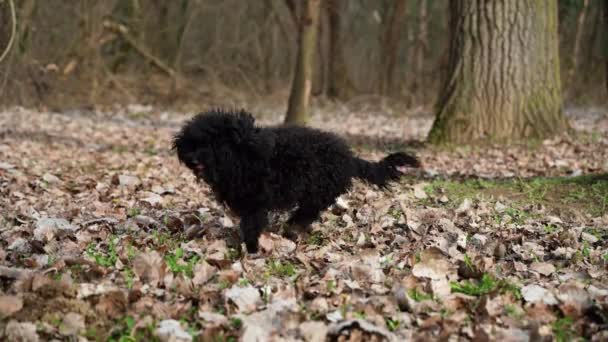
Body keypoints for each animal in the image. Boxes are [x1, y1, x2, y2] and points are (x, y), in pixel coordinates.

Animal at [171, 110, 418, 254]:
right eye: (194, 141)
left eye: (215, 143)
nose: (193, 158)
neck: (243, 156)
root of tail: (349, 158)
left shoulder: (256, 203)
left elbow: (251, 225)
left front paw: (251, 248)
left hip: (318, 191)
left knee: (308, 211)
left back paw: (293, 226)